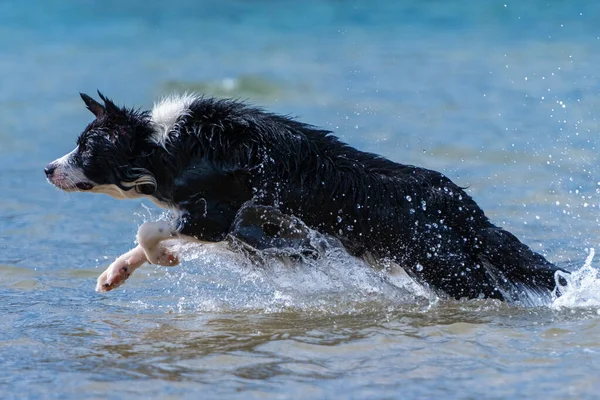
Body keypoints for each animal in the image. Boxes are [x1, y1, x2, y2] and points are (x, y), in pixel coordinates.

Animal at [44, 92, 564, 302]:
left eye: (86, 147)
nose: (47, 169)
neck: (162, 145)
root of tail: (460, 204)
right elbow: (146, 239)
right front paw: (114, 274)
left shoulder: (220, 214)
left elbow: (150, 229)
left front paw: (161, 256)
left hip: (445, 266)